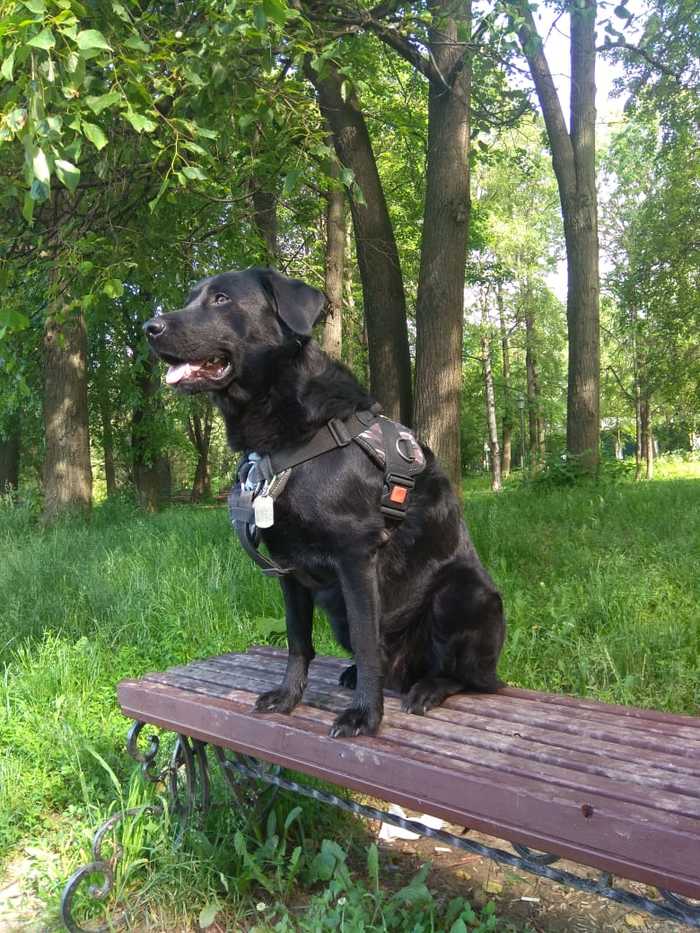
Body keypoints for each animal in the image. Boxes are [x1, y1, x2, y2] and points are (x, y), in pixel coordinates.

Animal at [145, 268, 506, 736]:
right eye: (190, 298)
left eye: (221, 299)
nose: (149, 328)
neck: (288, 438)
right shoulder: (286, 565)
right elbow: (298, 641)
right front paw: (288, 697)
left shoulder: (355, 558)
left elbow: (368, 645)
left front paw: (365, 715)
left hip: (461, 594)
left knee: (470, 678)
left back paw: (428, 688)